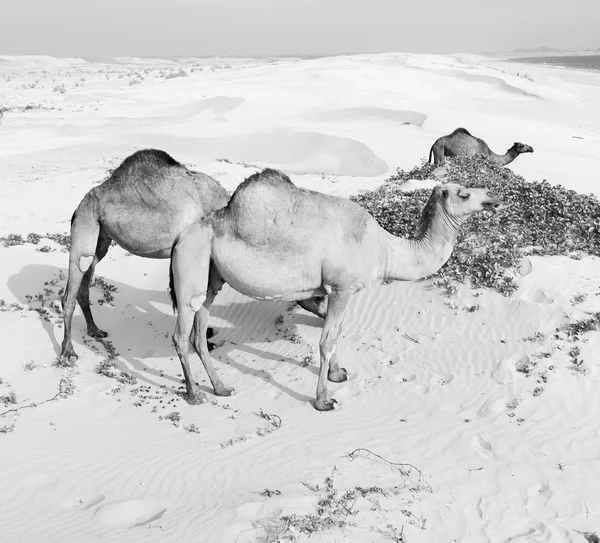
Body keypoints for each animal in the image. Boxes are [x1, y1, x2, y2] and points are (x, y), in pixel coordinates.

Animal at [168, 168, 502, 410]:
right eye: (464, 193)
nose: (494, 197)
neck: (384, 249)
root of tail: (181, 236)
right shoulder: (342, 287)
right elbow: (327, 340)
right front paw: (323, 400)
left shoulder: (333, 290)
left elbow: (335, 329)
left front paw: (338, 374)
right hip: (191, 263)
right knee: (181, 334)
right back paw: (194, 394)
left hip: (211, 275)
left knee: (200, 329)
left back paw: (221, 387)